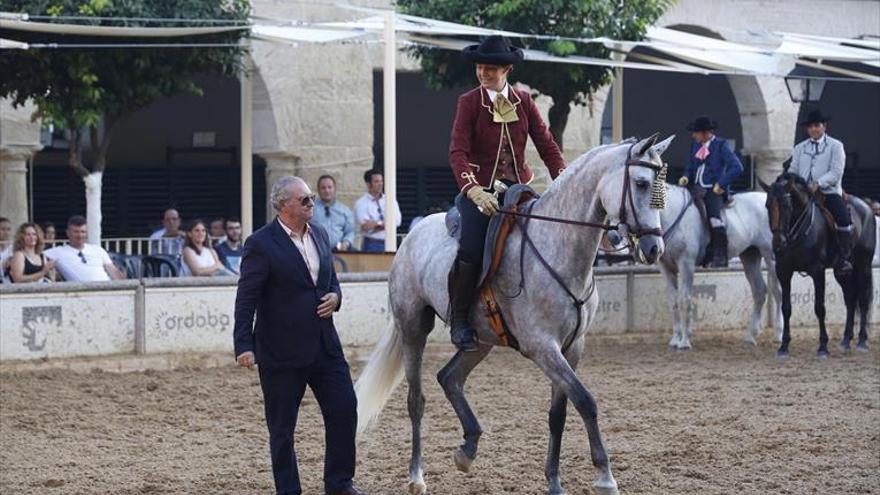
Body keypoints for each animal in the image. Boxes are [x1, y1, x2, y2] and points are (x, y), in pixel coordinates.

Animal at [354, 136, 672, 495]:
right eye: (642, 183)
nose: (654, 249)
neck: (557, 248)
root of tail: (410, 236)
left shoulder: (572, 347)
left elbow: (558, 414)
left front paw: (554, 482)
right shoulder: (543, 347)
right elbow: (585, 400)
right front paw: (605, 476)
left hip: (480, 340)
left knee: (449, 378)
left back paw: (468, 449)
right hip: (413, 329)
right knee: (416, 400)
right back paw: (416, 476)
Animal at [652, 184, 784, 350]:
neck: (673, 213)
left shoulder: (686, 263)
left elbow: (685, 299)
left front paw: (685, 341)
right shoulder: (666, 267)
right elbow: (673, 301)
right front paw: (676, 339)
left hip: (771, 256)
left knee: (778, 292)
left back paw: (779, 334)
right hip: (750, 255)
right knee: (760, 291)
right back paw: (750, 336)